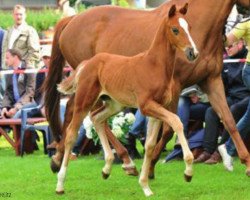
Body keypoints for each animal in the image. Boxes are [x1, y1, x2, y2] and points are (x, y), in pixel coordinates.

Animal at [56, 3, 197, 197]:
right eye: (175, 29)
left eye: (189, 27)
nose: (193, 53)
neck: (154, 66)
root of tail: (87, 63)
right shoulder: (146, 106)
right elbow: (176, 121)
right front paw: (188, 171)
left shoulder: (156, 109)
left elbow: (150, 145)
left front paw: (145, 186)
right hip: (84, 102)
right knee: (71, 133)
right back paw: (60, 184)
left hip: (115, 104)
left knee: (97, 119)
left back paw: (107, 168)